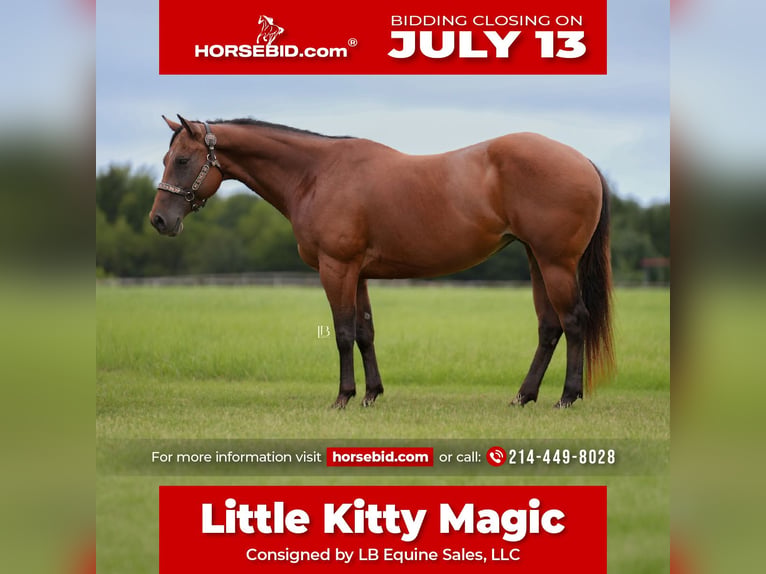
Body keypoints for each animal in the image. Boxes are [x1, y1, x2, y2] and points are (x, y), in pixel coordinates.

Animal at [150, 115, 615, 409]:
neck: (318, 174)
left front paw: (343, 397)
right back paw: (523, 396)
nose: (159, 220)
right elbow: (365, 332)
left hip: (556, 262)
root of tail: (583, 161)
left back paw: (566, 397)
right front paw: (372, 394)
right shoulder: (357, 272)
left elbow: (342, 333)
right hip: (537, 260)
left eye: (184, 160)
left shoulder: (336, 267)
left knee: (573, 321)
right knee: (549, 327)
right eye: (166, 159)